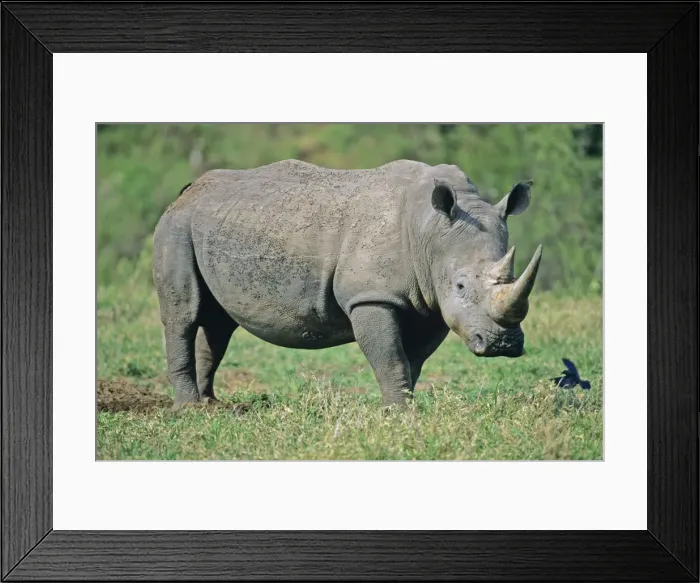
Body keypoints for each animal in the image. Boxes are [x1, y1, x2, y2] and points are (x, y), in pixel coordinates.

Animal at [152, 159, 542, 410]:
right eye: (460, 286)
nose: (502, 344)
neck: (429, 230)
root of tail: (186, 192)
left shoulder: (431, 304)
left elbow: (413, 360)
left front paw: (401, 410)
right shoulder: (370, 297)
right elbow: (391, 358)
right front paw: (400, 415)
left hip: (214, 225)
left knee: (218, 323)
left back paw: (212, 406)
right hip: (176, 226)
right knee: (183, 316)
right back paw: (188, 410)